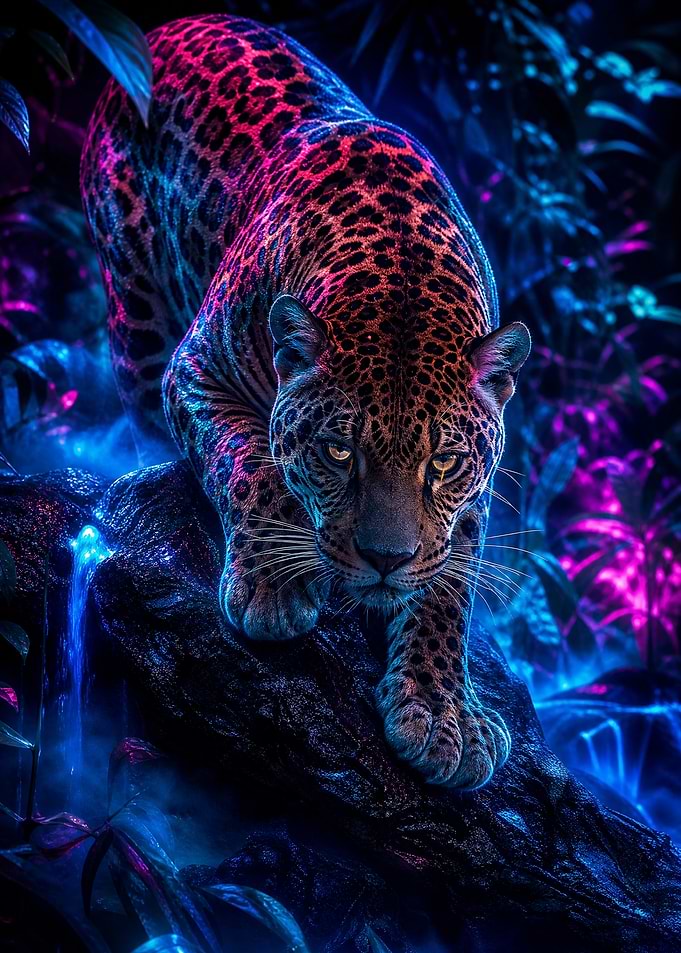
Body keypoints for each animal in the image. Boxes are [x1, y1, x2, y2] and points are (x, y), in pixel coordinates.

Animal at [81, 14, 531, 789]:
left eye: (443, 465)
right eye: (338, 452)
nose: (385, 560)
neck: (403, 275)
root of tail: (174, 24)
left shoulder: (471, 494)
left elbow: (449, 583)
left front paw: (443, 711)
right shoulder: (194, 372)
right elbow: (247, 461)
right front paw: (275, 586)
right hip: (135, 319)